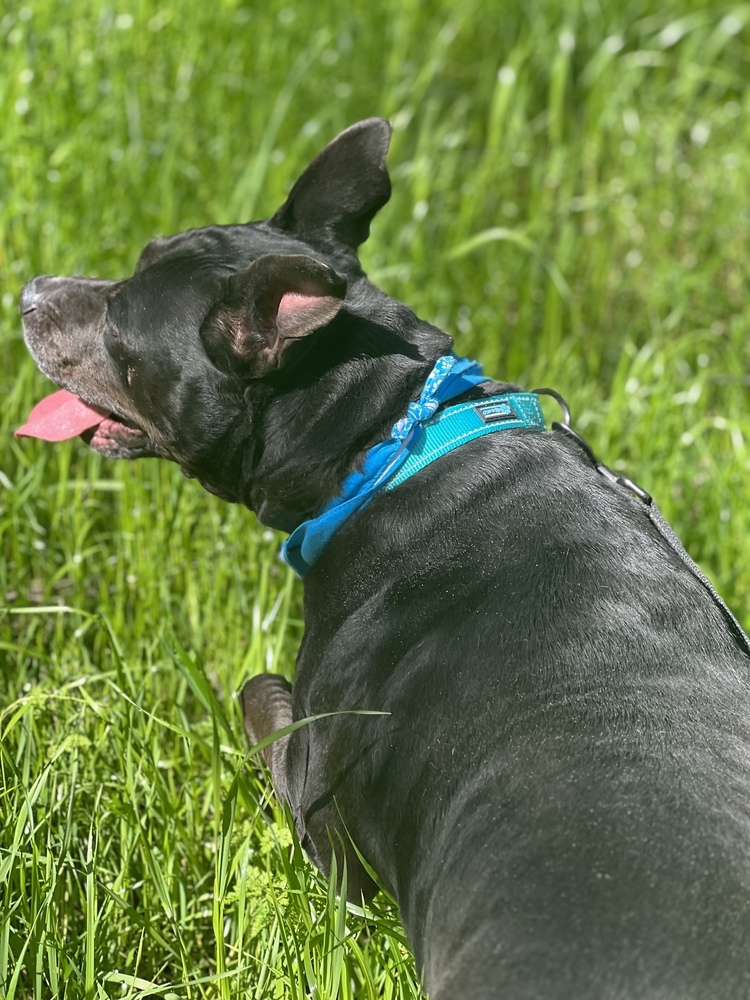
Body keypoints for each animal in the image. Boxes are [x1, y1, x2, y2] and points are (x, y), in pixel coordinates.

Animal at [17, 121, 750, 996]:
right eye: (136, 259)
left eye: (119, 324)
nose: (28, 290)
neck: (391, 438)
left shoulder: (323, 814)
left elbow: (256, 688)